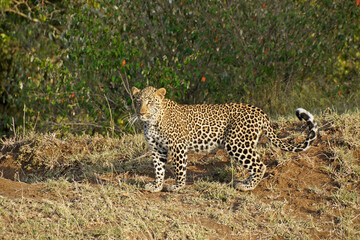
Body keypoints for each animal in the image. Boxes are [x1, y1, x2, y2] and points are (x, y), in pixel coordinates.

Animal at [132, 85, 318, 192]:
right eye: (138, 101)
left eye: (150, 102)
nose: (141, 113)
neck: (152, 122)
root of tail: (260, 111)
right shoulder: (157, 149)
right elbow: (158, 169)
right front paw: (156, 186)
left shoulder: (178, 147)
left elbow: (179, 169)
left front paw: (177, 187)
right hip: (246, 144)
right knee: (255, 164)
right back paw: (244, 182)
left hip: (237, 144)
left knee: (260, 165)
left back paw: (247, 186)